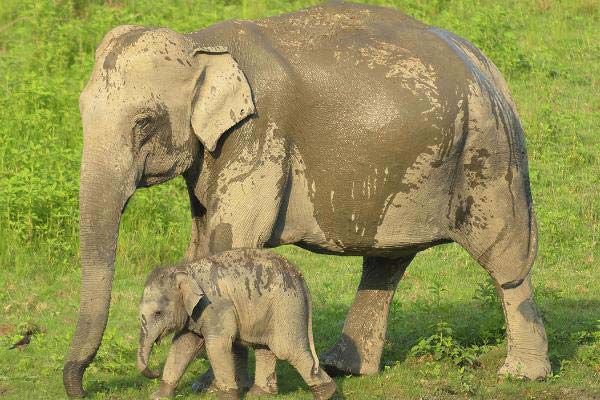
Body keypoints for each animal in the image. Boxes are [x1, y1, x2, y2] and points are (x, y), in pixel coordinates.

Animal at [137, 248, 338, 398]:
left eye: (158, 313)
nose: (155, 372)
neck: (185, 270)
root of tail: (302, 279)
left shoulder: (215, 307)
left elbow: (217, 346)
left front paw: (226, 397)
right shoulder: (194, 314)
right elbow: (183, 346)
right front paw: (159, 396)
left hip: (287, 306)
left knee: (288, 349)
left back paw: (328, 393)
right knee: (264, 348)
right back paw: (258, 394)